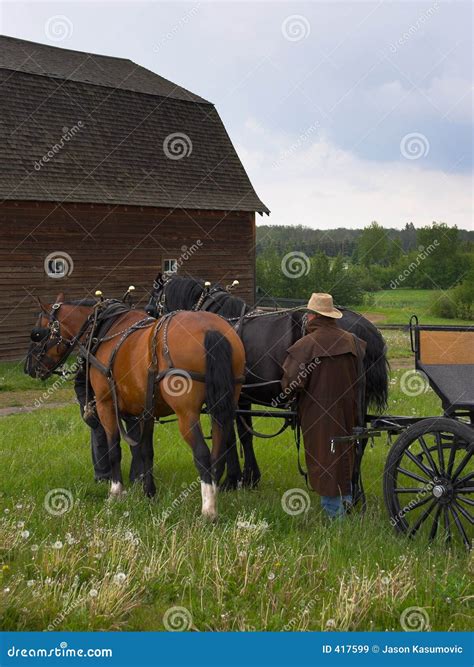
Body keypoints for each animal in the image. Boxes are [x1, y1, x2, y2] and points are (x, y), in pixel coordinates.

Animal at [25, 294, 244, 520]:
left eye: (37, 333)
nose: (28, 367)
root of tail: (210, 329)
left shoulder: (105, 404)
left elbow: (114, 449)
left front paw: (115, 492)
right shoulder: (145, 411)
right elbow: (145, 451)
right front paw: (149, 492)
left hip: (187, 413)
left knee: (202, 453)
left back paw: (208, 510)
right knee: (219, 450)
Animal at [145, 274, 388, 488]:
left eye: (155, 295)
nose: (148, 314)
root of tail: (366, 329)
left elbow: (229, 436)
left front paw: (231, 480)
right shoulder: (242, 398)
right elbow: (244, 435)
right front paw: (249, 477)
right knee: (359, 439)